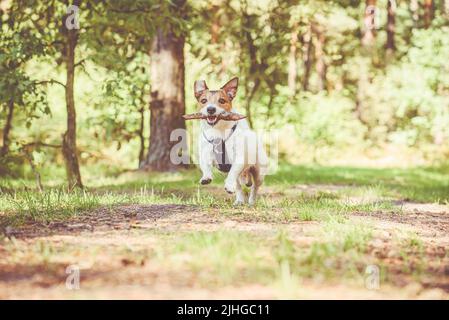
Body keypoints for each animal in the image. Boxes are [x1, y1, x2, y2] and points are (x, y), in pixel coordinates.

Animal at [186, 77, 266, 205]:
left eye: (222, 101)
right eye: (203, 100)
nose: (211, 109)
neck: (218, 131)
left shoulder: (238, 158)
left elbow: (233, 172)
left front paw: (228, 185)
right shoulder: (205, 153)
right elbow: (205, 165)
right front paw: (206, 177)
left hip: (259, 172)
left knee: (254, 187)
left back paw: (251, 201)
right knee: (238, 186)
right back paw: (239, 200)